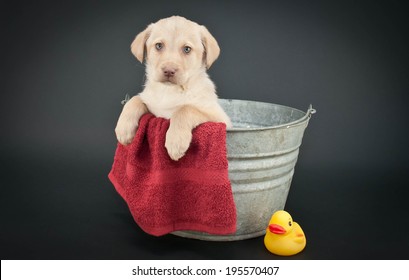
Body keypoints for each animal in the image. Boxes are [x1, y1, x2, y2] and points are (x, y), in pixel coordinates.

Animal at [113, 15, 231, 160]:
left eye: (187, 49)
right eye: (159, 46)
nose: (169, 71)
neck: (169, 91)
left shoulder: (218, 117)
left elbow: (185, 109)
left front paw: (176, 141)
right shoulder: (153, 109)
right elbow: (135, 99)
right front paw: (123, 128)